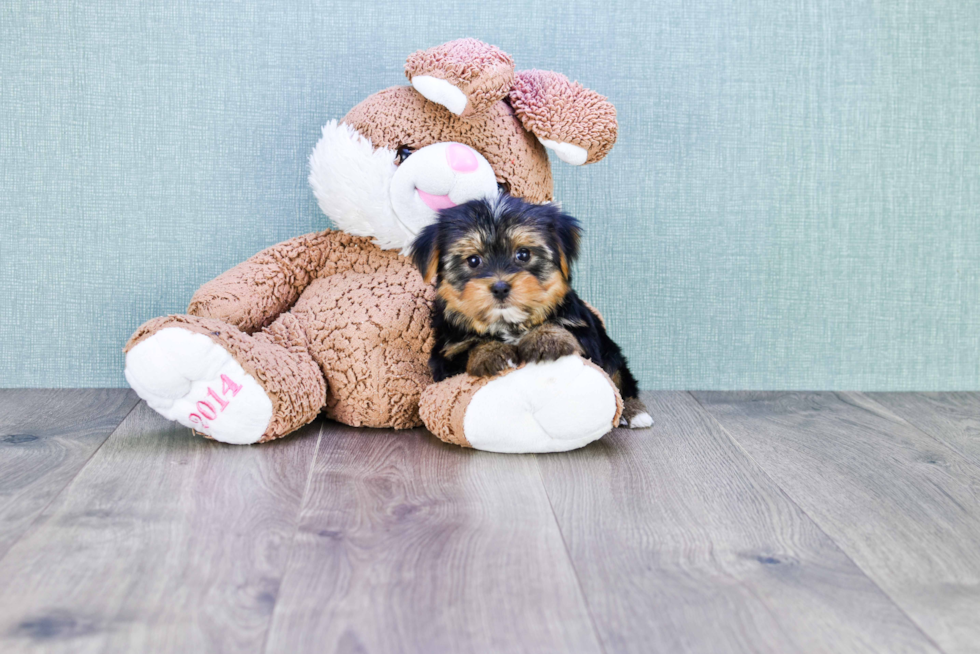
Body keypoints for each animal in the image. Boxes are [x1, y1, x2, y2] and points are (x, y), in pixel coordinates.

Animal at [412, 195, 652, 430]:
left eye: (523, 254)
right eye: (473, 260)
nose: (500, 287)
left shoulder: (584, 333)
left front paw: (546, 339)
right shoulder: (446, 357)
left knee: (619, 378)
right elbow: (466, 349)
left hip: (611, 351)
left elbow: (564, 329)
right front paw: (490, 352)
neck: (509, 322)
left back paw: (635, 412)